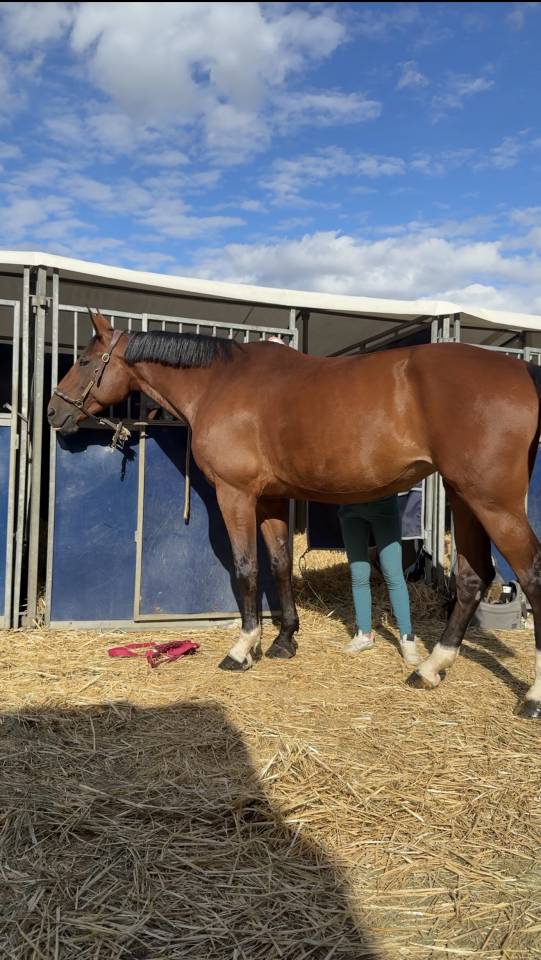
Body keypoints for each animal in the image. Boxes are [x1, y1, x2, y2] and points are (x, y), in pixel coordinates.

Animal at [47, 310, 541, 719]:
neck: (219, 384)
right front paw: (284, 639)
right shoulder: (270, 500)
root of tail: (521, 369)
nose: (54, 411)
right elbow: (280, 563)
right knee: (473, 577)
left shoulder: (236, 495)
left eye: (85, 362)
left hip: (493, 503)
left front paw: (243, 648)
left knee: (531, 576)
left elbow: (247, 568)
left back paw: (531, 697)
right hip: (464, 497)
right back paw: (431, 668)